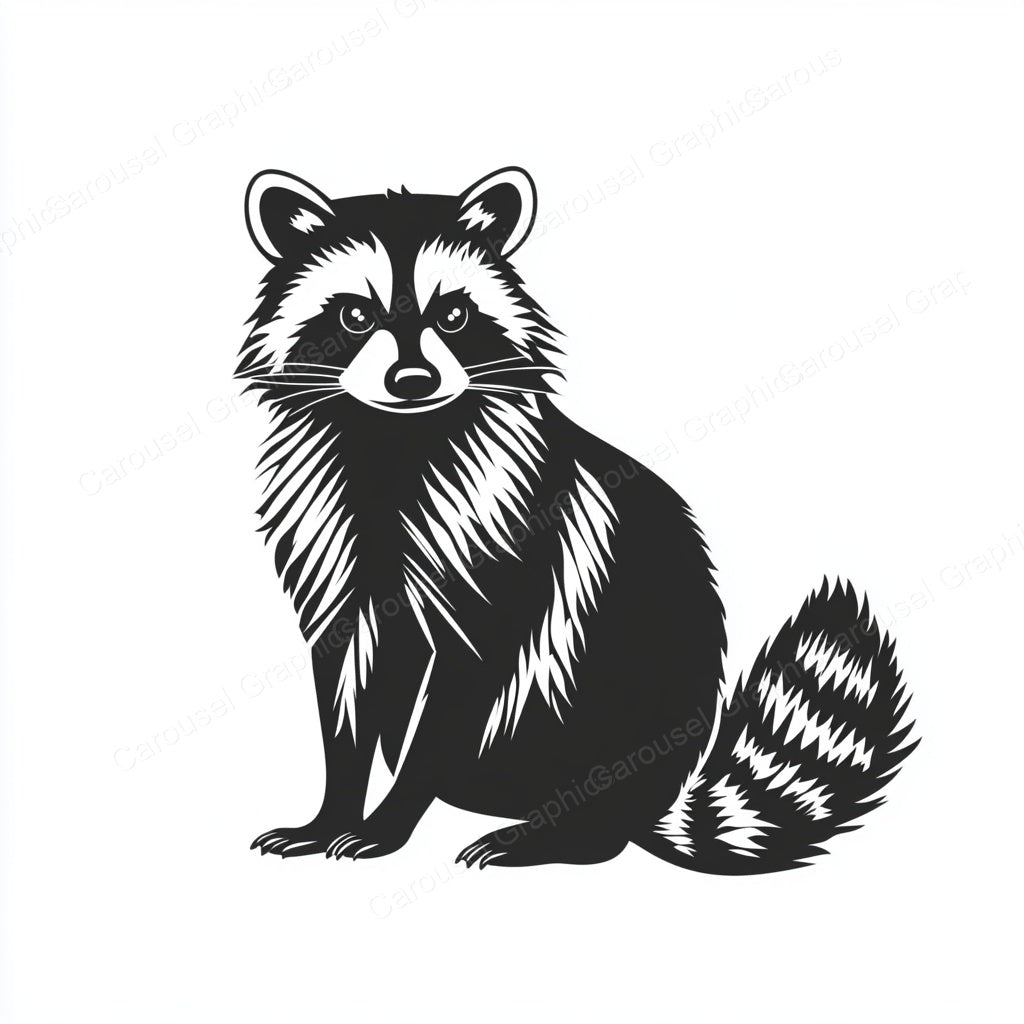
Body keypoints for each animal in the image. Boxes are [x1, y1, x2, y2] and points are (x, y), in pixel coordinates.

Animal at [238, 167, 916, 871]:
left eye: (452, 315)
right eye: (355, 314)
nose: (413, 380)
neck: (396, 442)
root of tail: (655, 800)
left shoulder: (503, 546)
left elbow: (454, 701)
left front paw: (390, 820)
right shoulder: (338, 553)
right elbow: (344, 699)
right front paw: (334, 812)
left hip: (622, 704)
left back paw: (554, 834)